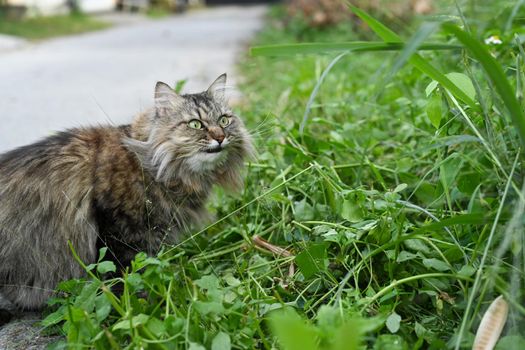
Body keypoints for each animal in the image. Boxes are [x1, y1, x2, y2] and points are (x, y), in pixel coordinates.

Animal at [0, 74, 254, 314]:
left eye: (224, 120)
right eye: (195, 124)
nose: (220, 137)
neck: (151, 165)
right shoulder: (119, 238)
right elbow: (127, 284)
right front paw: (140, 309)